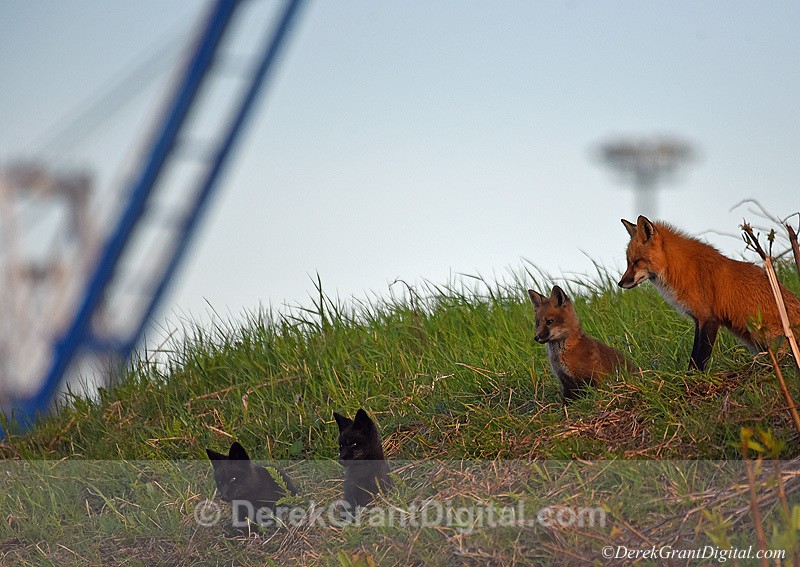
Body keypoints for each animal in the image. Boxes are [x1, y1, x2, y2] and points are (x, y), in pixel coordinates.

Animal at [619, 215, 800, 372]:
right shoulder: (698, 319)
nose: (620, 283)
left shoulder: (709, 318)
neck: (680, 269)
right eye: (628, 262)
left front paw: (695, 379)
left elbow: (701, 357)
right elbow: (693, 356)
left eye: (637, 262)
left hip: (761, 334)